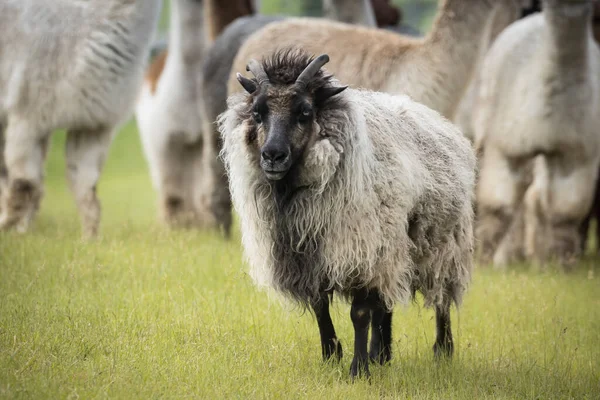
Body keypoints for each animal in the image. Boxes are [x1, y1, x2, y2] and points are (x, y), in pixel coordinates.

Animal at [0, 0, 162, 238]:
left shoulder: (91, 123)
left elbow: (86, 186)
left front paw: (90, 238)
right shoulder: (28, 116)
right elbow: (24, 183)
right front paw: (8, 229)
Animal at [218, 50, 476, 378]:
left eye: (305, 112)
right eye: (257, 113)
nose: (272, 155)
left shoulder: (360, 250)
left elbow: (360, 313)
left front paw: (358, 369)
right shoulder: (310, 256)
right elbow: (320, 308)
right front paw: (331, 356)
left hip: (442, 244)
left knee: (441, 298)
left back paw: (442, 350)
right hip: (393, 245)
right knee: (385, 302)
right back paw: (382, 354)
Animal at [474, 0, 600, 268]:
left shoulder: (578, 153)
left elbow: (566, 210)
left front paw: (562, 264)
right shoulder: (507, 146)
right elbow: (498, 205)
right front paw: (485, 260)